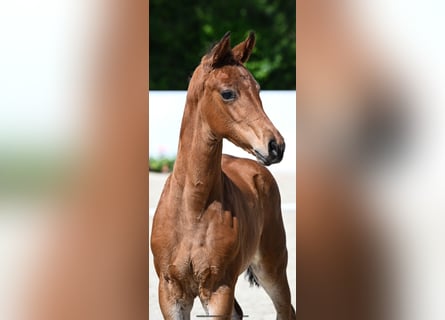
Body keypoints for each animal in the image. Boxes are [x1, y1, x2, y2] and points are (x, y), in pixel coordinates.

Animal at [149, 31, 294, 318]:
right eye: (228, 93)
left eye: (258, 89)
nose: (276, 146)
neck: (192, 208)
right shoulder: (170, 292)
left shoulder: (219, 289)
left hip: (272, 266)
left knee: (286, 309)